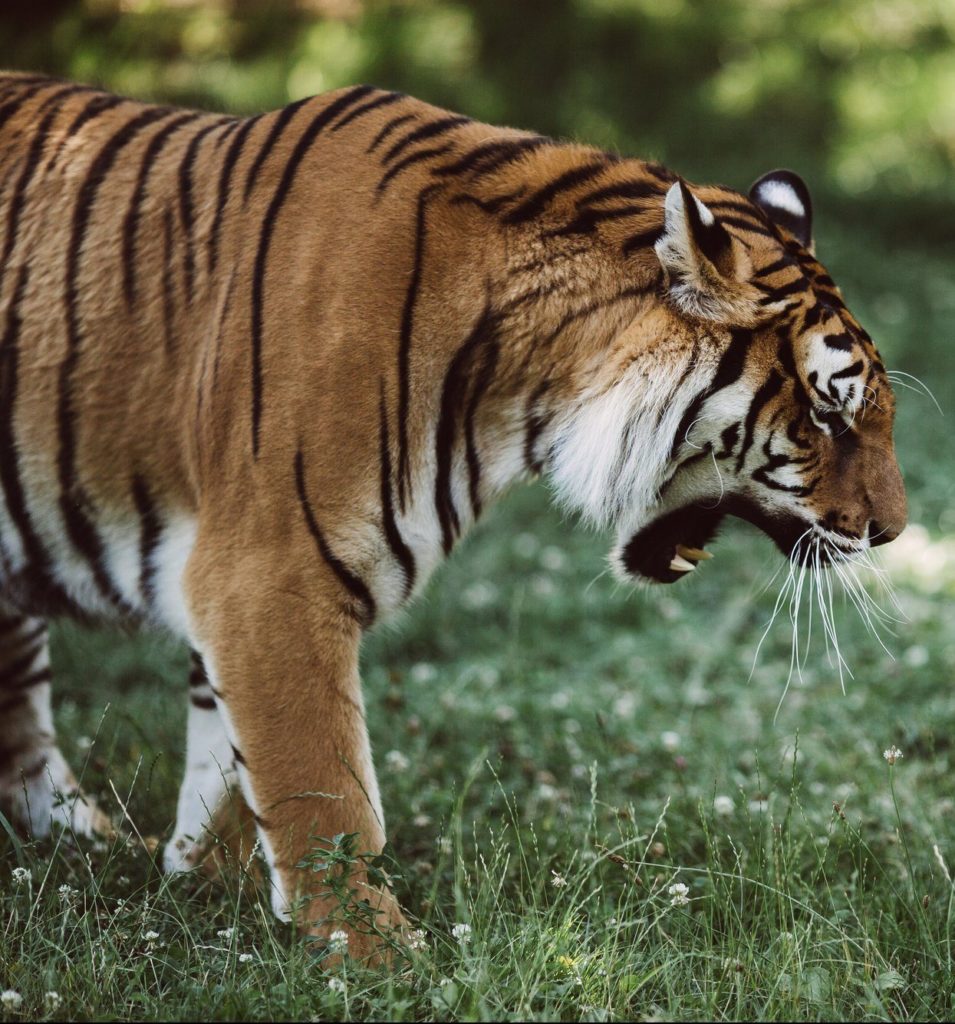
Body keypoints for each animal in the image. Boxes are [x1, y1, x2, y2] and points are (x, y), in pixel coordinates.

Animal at [0, 72, 906, 958]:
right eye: (828, 415)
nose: (890, 531)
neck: (524, 392)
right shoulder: (268, 578)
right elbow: (320, 785)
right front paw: (374, 951)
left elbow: (230, 759)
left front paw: (207, 886)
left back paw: (87, 845)